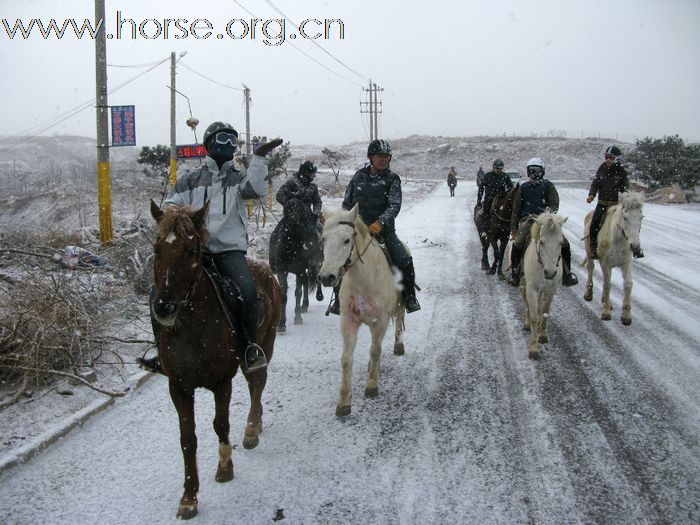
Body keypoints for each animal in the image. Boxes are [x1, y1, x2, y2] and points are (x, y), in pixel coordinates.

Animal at [149, 201, 280, 520]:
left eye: (190, 250)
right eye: (157, 248)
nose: (164, 307)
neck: (192, 326)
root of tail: (265, 270)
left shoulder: (221, 381)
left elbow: (221, 424)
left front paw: (225, 468)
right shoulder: (179, 387)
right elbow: (187, 439)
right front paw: (188, 497)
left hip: (264, 346)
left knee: (258, 383)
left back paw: (251, 429)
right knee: (254, 386)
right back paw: (257, 422)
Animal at [270, 196, 324, 332]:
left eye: (300, 208)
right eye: (287, 208)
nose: (293, 223)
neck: (291, 244)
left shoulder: (299, 269)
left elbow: (298, 293)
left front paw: (297, 317)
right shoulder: (282, 270)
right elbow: (284, 295)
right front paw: (281, 324)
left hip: (315, 264)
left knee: (314, 278)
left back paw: (318, 297)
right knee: (305, 283)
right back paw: (305, 305)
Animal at [320, 205, 408, 418]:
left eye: (346, 240)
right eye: (324, 239)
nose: (326, 277)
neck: (363, 280)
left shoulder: (380, 321)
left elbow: (375, 351)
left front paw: (371, 387)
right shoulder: (349, 321)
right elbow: (346, 360)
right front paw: (343, 402)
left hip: (399, 307)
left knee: (399, 320)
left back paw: (398, 346)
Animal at [524, 211, 568, 358]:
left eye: (561, 243)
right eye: (542, 242)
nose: (550, 272)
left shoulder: (552, 289)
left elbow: (545, 311)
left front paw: (543, 335)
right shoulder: (531, 288)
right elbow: (534, 316)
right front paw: (533, 347)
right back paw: (527, 324)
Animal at [580, 190, 644, 326]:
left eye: (641, 217)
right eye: (625, 217)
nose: (635, 246)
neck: (618, 240)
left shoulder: (626, 263)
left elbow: (628, 284)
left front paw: (626, 316)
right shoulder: (605, 263)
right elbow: (607, 284)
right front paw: (605, 313)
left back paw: (606, 300)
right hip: (589, 253)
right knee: (591, 269)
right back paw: (589, 294)